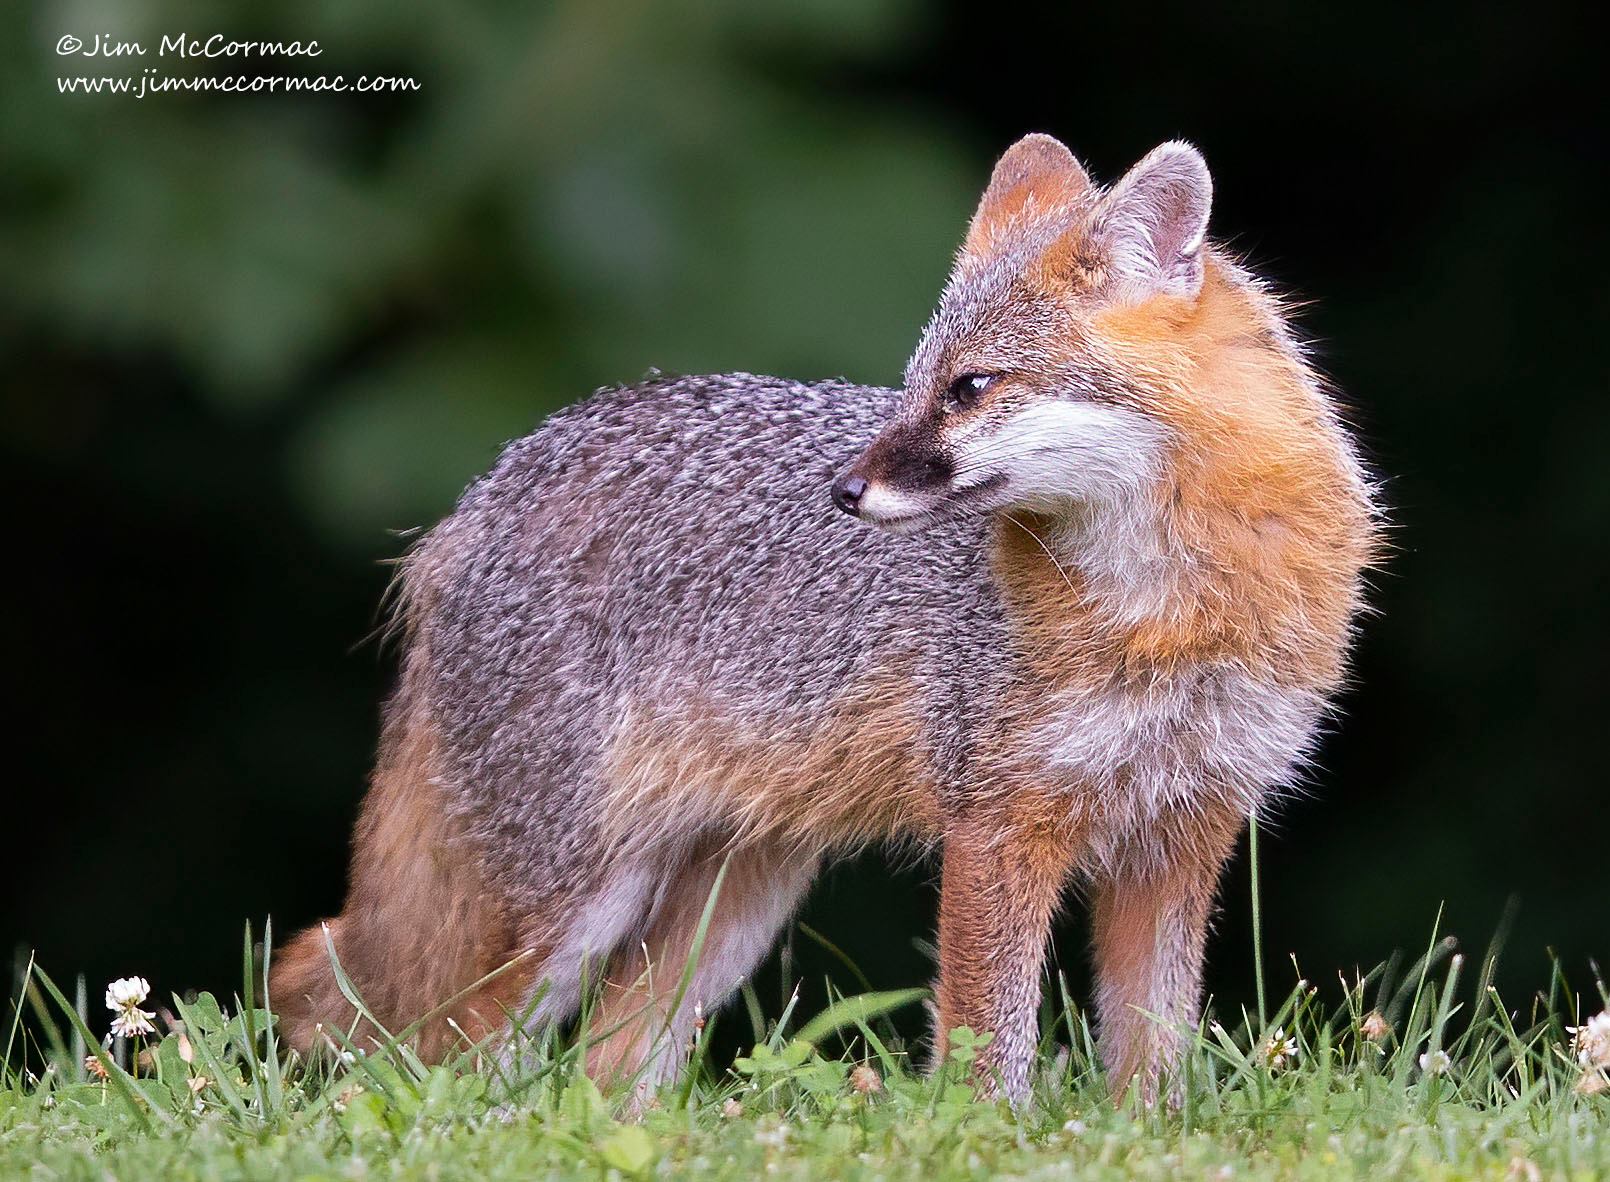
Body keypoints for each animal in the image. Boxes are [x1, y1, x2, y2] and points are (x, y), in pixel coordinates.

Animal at [273, 134, 1371, 1107]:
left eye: (971, 388)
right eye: (914, 385)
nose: (840, 490)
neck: (1178, 609)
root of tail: (482, 494)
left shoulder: (1184, 831)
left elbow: (1152, 1056)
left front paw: (1145, 1138)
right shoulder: (998, 824)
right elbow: (989, 1044)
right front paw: (986, 1141)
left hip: (727, 914)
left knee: (603, 1073)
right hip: (570, 910)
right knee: (419, 1055)